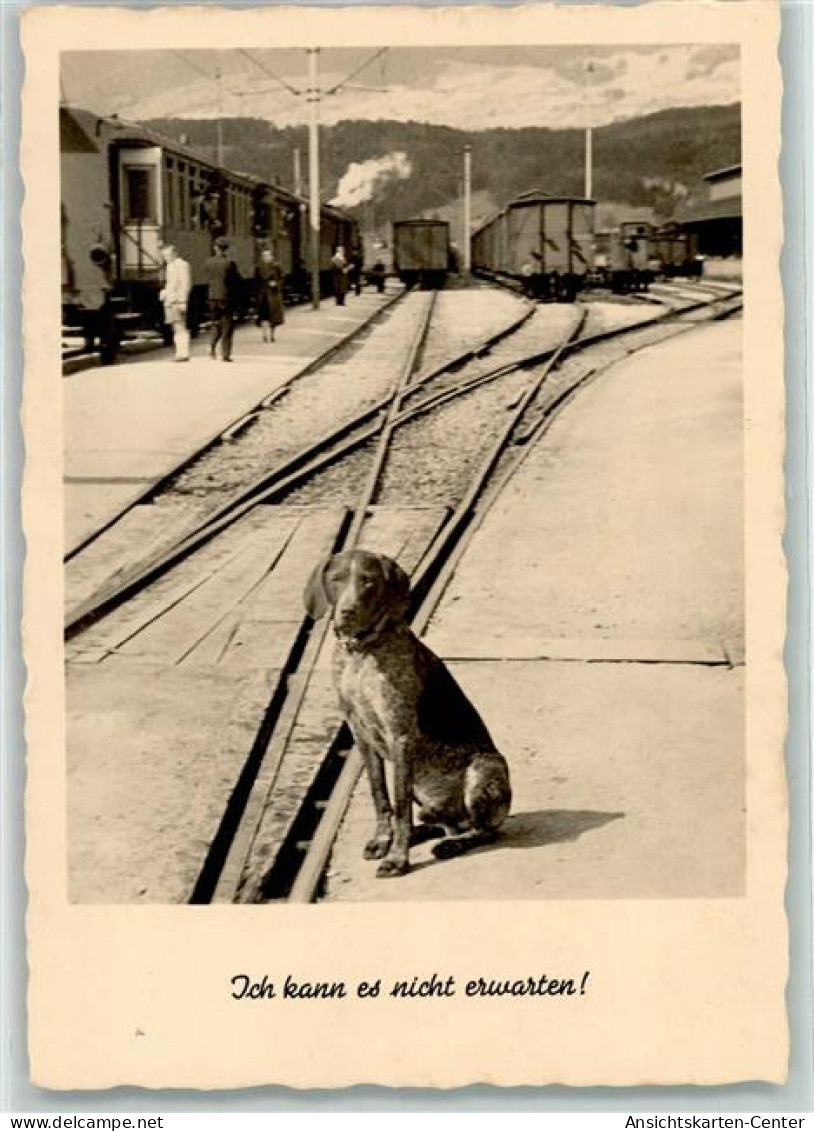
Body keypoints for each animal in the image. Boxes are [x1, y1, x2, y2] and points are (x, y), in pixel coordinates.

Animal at [302, 547, 511, 873]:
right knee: (443, 823)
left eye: (368, 581)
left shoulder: (400, 735)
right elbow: (380, 796)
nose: (347, 611)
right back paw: (423, 834)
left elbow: (399, 806)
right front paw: (383, 841)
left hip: (485, 766)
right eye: (336, 579)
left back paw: (451, 844)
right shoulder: (361, 736)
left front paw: (398, 858)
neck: (359, 654)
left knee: (484, 831)